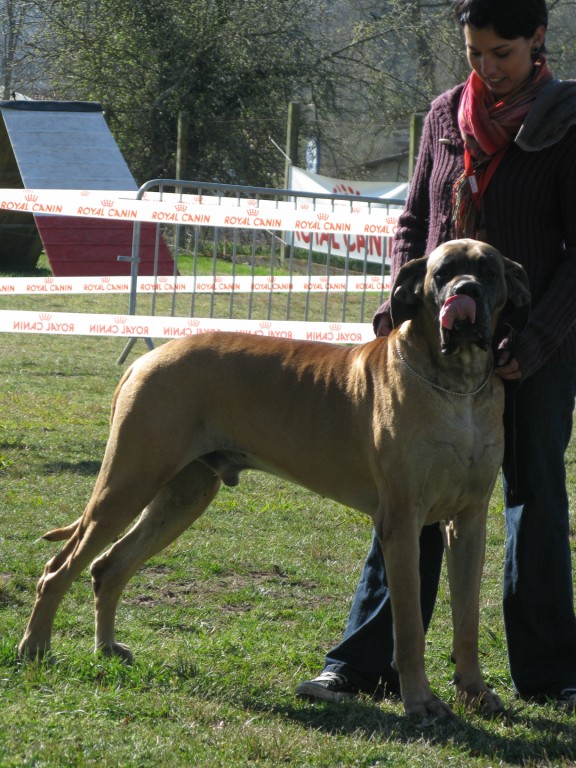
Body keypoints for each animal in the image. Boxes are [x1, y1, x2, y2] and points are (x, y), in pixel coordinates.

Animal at [18, 238, 528, 720]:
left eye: (488, 270)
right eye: (441, 274)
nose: (465, 292)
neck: (456, 387)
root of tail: (147, 359)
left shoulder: (469, 521)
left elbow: (467, 620)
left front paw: (475, 691)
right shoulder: (402, 522)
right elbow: (409, 628)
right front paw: (420, 701)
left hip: (183, 494)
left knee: (109, 566)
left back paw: (105, 649)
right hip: (127, 482)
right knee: (60, 567)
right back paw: (35, 648)